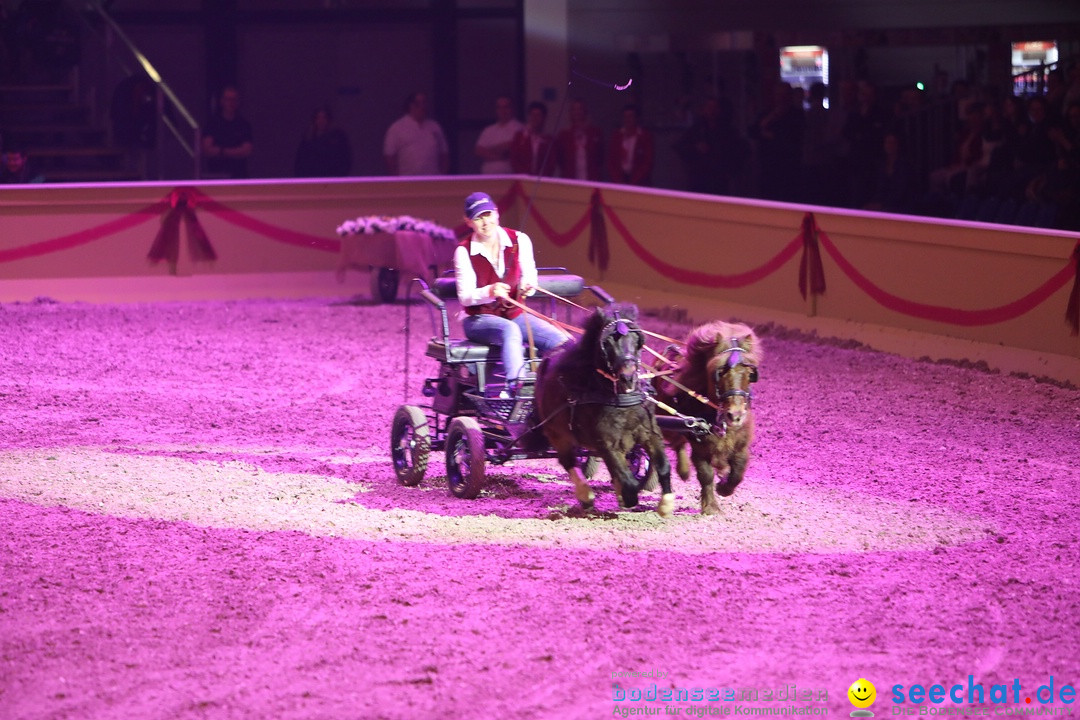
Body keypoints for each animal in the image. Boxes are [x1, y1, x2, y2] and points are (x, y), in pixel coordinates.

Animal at [533, 304, 673, 518]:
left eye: (636, 340)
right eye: (607, 342)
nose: (628, 377)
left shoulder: (650, 433)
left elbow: (663, 466)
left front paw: (666, 504)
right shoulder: (606, 442)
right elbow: (628, 481)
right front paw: (628, 497)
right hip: (557, 433)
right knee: (568, 461)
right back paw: (586, 495)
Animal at [648, 319, 760, 511]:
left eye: (749, 373)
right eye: (720, 373)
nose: (735, 415)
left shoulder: (741, 445)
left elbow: (738, 472)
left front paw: (724, 486)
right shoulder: (700, 446)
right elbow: (705, 474)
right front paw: (711, 507)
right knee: (673, 444)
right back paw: (679, 471)